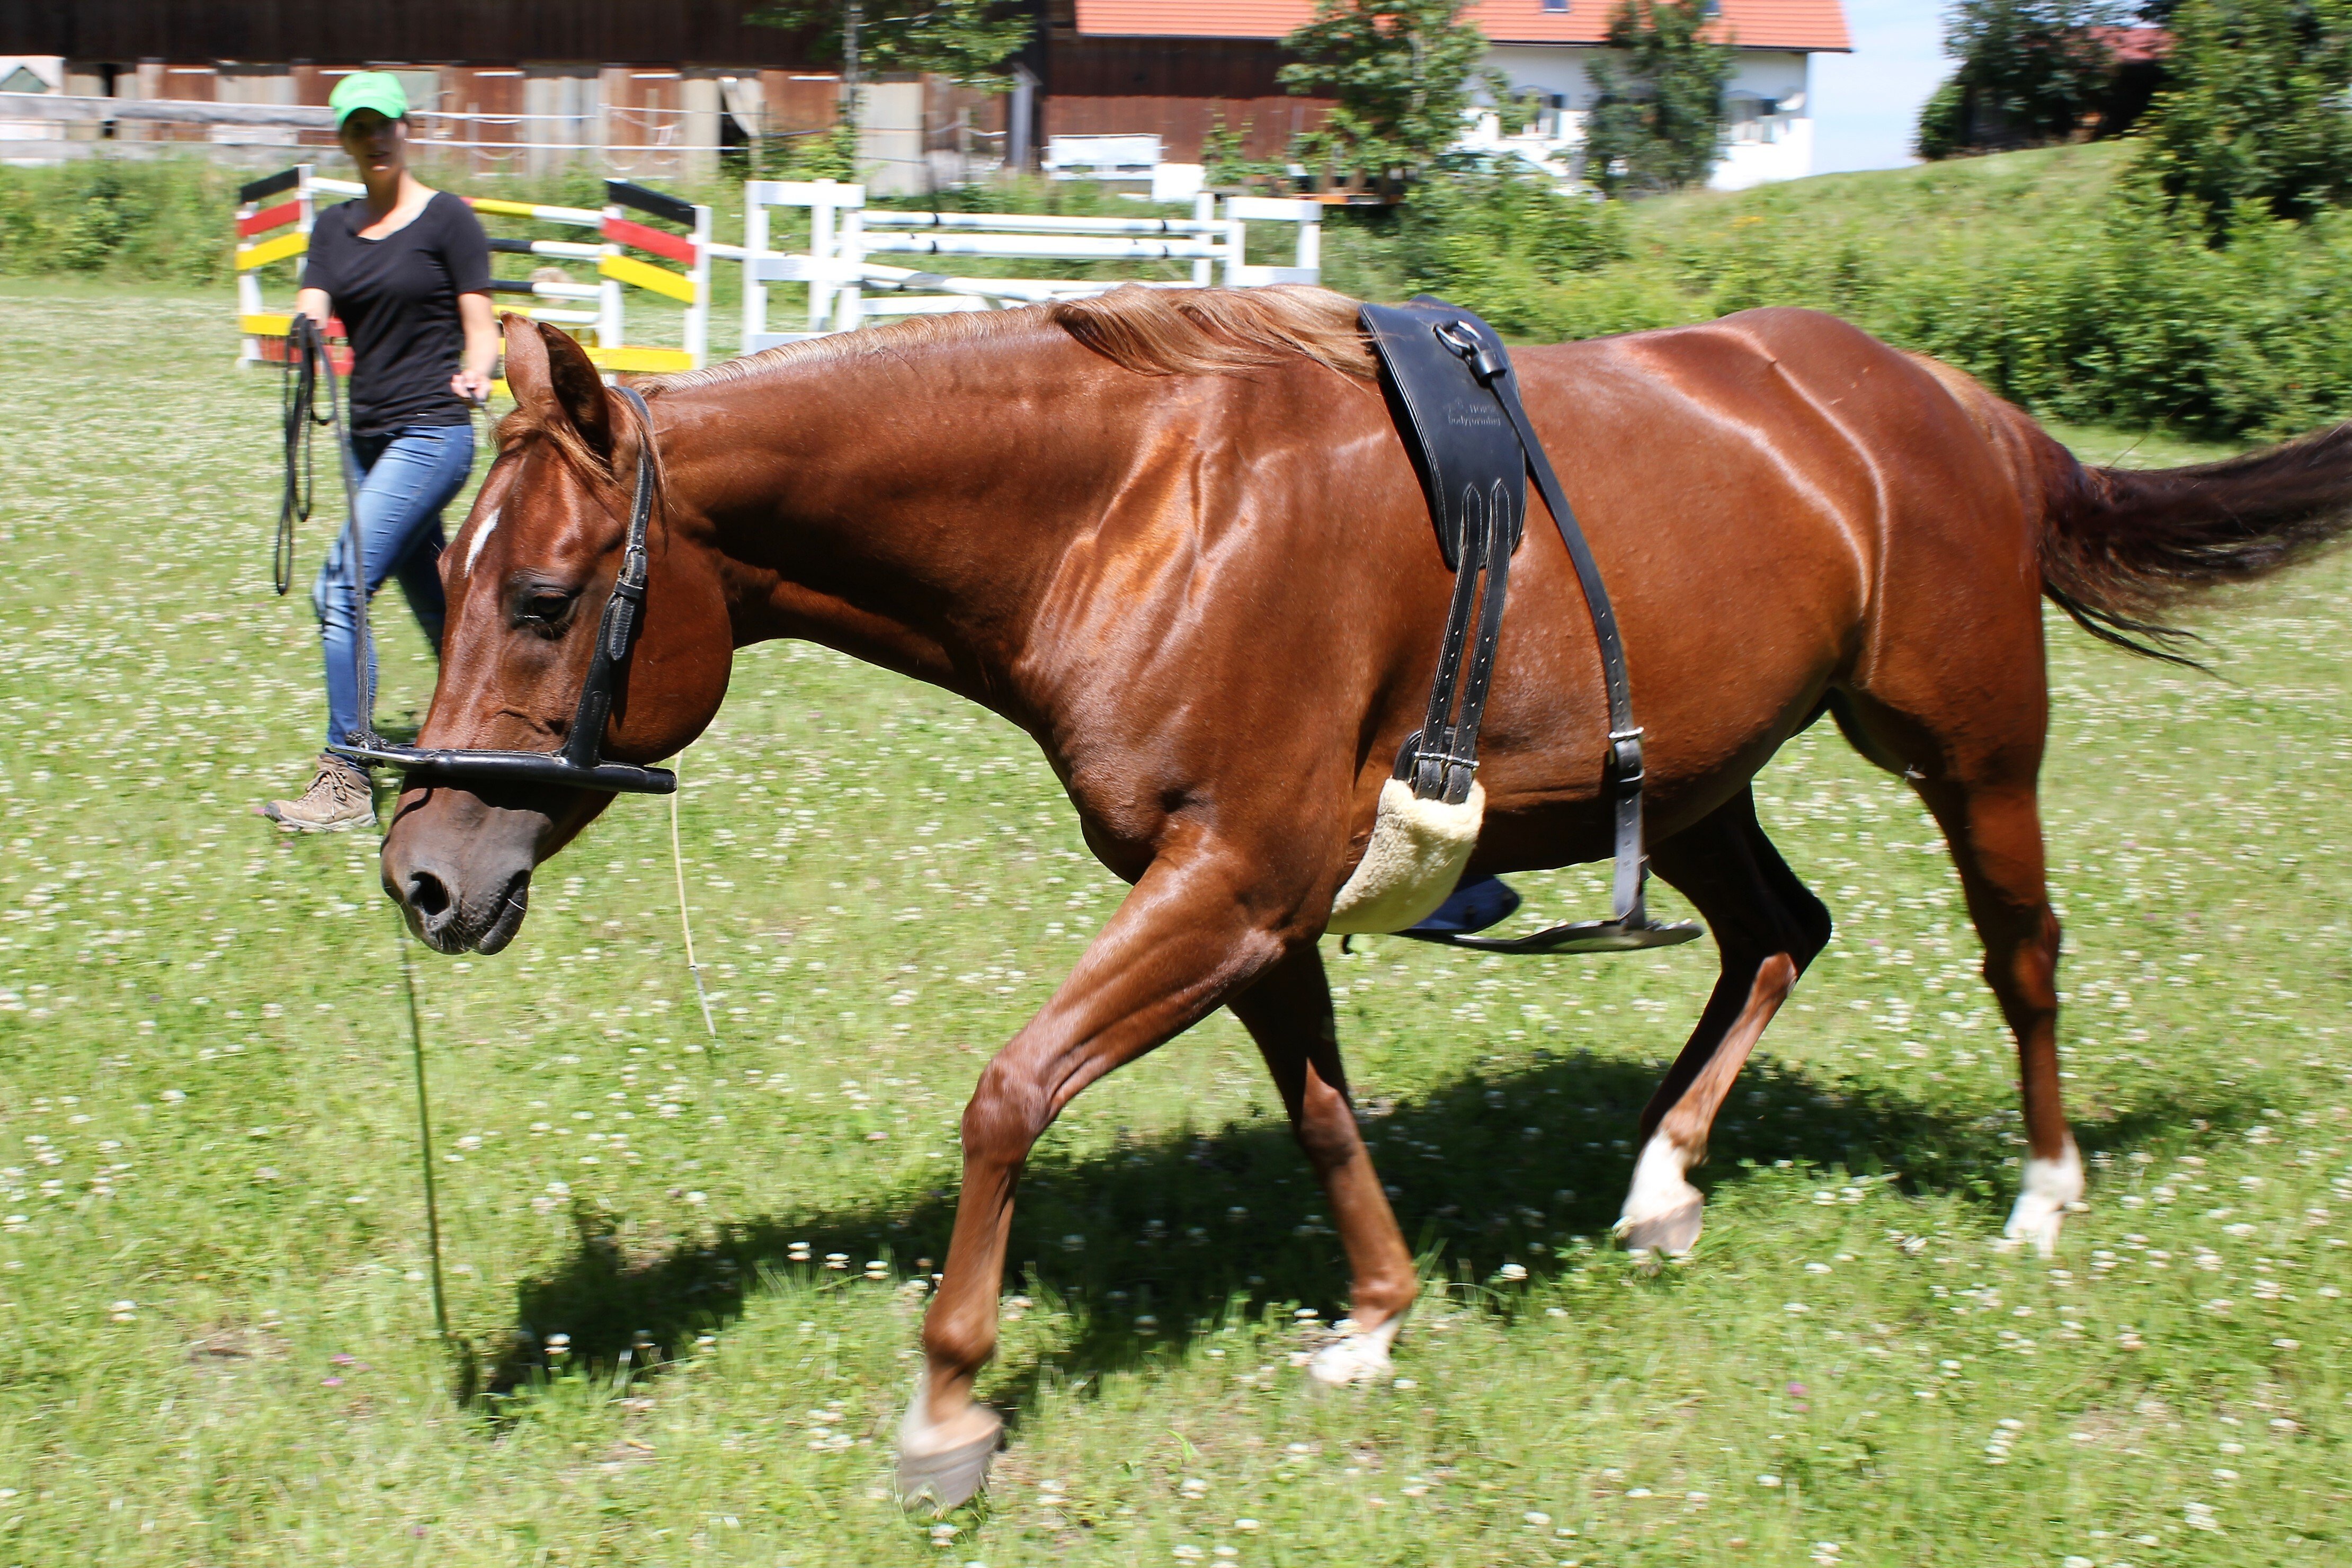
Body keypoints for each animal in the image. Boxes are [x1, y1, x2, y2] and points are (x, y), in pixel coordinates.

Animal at [378, 293, 2352, 1504]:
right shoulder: (1248, 903)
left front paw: (947, 1401)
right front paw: (1380, 1317)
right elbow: (1324, 1115)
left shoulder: (1228, 883)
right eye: (446, 580)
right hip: (1696, 785)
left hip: (1967, 753)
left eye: (544, 596)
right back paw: (1660, 1183)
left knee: (2021, 952)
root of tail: (1956, 404)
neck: (1137, 510)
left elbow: (1009, 1093)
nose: (423, 872)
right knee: (1781, 931)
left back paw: (2042, 1193)